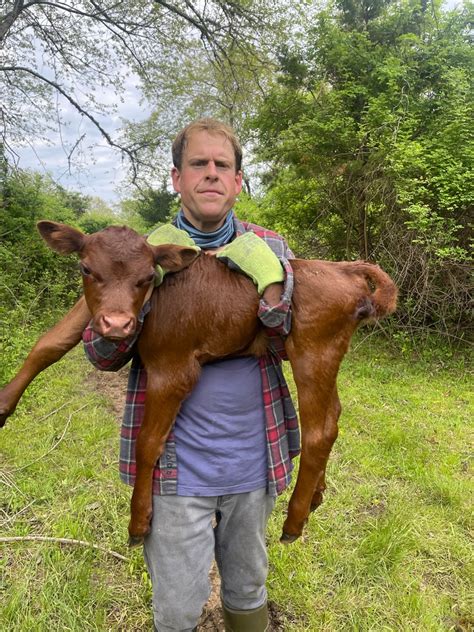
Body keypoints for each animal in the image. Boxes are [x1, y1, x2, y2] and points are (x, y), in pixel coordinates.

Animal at [0, 221, 396, 544]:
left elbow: (147, 443)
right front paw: (4, 404)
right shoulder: (90, 310)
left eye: (148, 277)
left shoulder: (173, 367)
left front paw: (139, 521)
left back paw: (294, 521)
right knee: (334, 416)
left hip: (312, 350)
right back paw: (316, 495)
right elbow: (49, 344)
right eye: (86, 268)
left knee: (319, 432)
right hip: (327, 353)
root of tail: (343, 268)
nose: (117, 324)